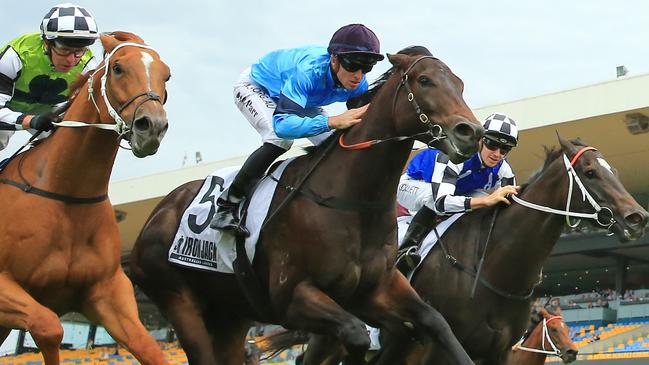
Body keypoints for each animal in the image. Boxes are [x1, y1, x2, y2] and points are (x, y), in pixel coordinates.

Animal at [0, 32, 170, 364]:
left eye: (166, 75)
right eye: (118, 68)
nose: (152, 126)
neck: (67, 194)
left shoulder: (109, 292)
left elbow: (151, 350)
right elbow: (49, 327)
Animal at [129, 47, 484, 364]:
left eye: (460, 84)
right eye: (425, 80)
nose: (472, 132)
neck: (353, 200)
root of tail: (158, 212)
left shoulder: (375, 290)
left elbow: (437, 323)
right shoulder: (291, 297)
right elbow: (355, 335)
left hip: (231, 312)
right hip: (178, 301)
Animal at [368, 136, 644, 364]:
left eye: (614, 171)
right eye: (590, 172)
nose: (638, 217)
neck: (493, 268)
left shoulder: (497, 352)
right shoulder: (438, 347)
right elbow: (440, 198)